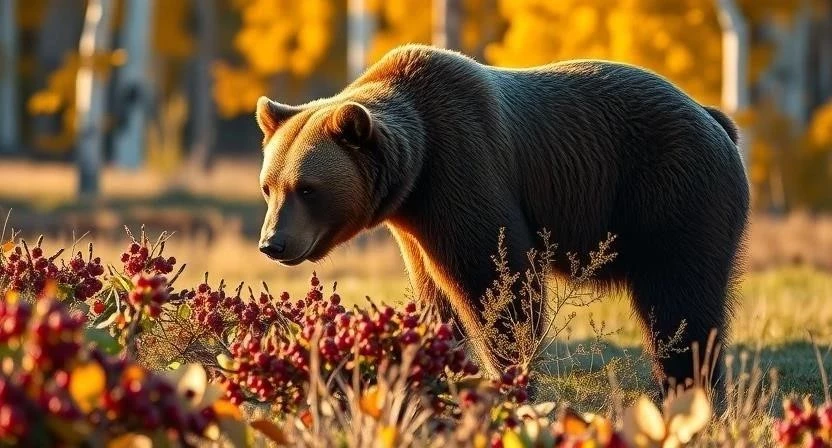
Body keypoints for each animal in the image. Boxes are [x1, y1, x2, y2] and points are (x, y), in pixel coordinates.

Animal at [255, 44, 750, 391]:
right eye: (269, 185)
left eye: (307, 188)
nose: (272, 243)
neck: (417, 171)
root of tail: (716, 120)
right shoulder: (415, 228)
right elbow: (435, 294)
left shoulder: (463, 166)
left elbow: (499, 278)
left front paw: (510, 371)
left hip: (675, 196)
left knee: (681, 302)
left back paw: (689, 387)